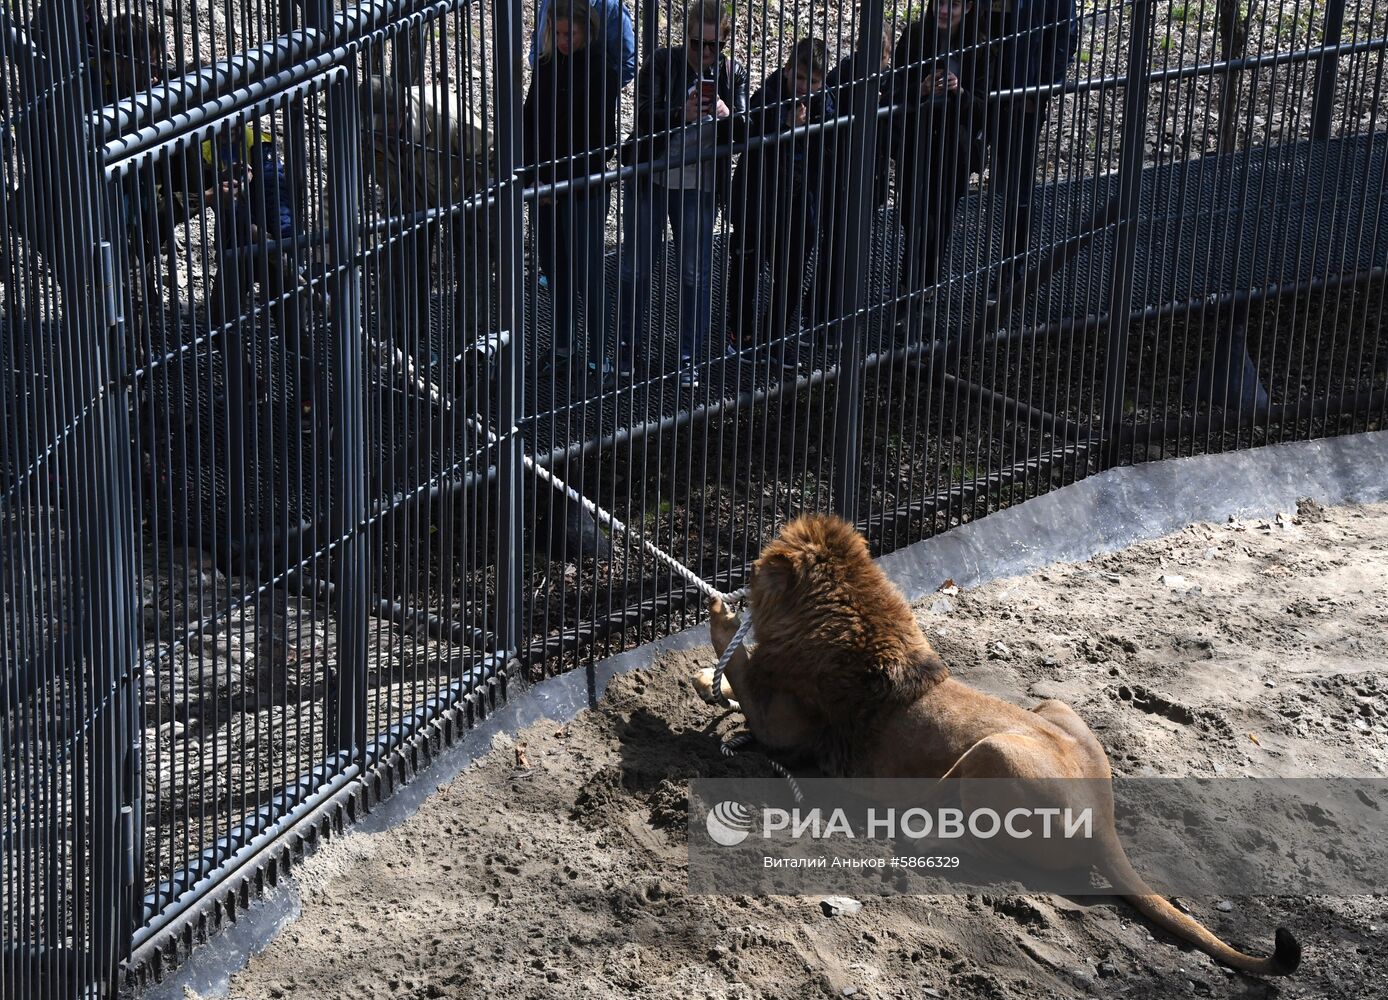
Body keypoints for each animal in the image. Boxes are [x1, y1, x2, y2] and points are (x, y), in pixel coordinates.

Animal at [694, 516, 1299, 977]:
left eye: (757, 567)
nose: (743, 576)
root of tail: (1104, 821)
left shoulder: (788, 728)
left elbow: (741, 662)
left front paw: (723, 617)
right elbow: (732, 680)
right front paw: (705, 680)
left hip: (993, 752)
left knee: (984, 846)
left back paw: (915, 831)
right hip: (1053, 706)